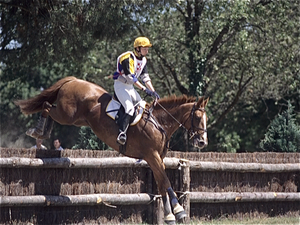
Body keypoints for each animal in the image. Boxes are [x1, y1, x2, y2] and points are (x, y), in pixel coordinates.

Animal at [14, 76, 209, 224]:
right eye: (198, 117)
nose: (202, 142)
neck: (159, 122)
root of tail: (74, 80)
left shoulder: (158, 158)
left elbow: (162, 184)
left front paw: (171, 215)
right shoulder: (151, 156)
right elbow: (166, 182)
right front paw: (178, 211)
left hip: (76, 119)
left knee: (48, 106)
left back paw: (43, 132)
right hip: (66, 114)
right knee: (47, 106)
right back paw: (38, 130)